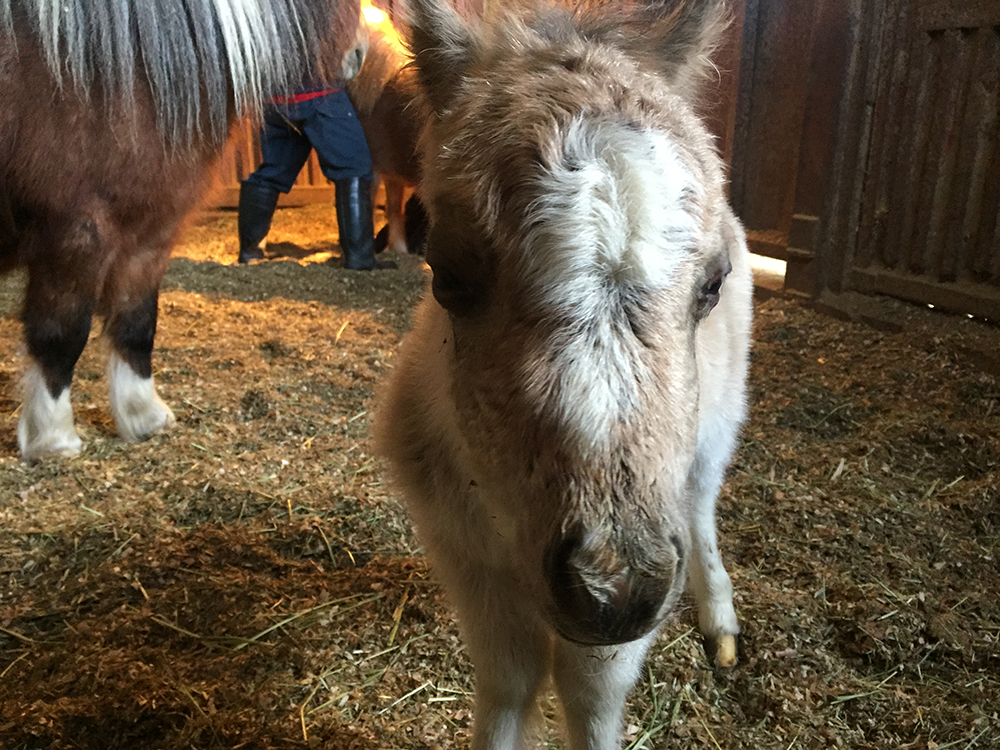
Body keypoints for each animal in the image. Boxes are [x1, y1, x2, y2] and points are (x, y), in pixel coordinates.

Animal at [2, 0, 364, 462]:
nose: (358, 55)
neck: (117, 77)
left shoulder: (151, 235)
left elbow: (137, 322)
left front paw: (143, 416)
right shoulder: (78, 234)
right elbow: (61, 332)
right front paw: (52, 438)